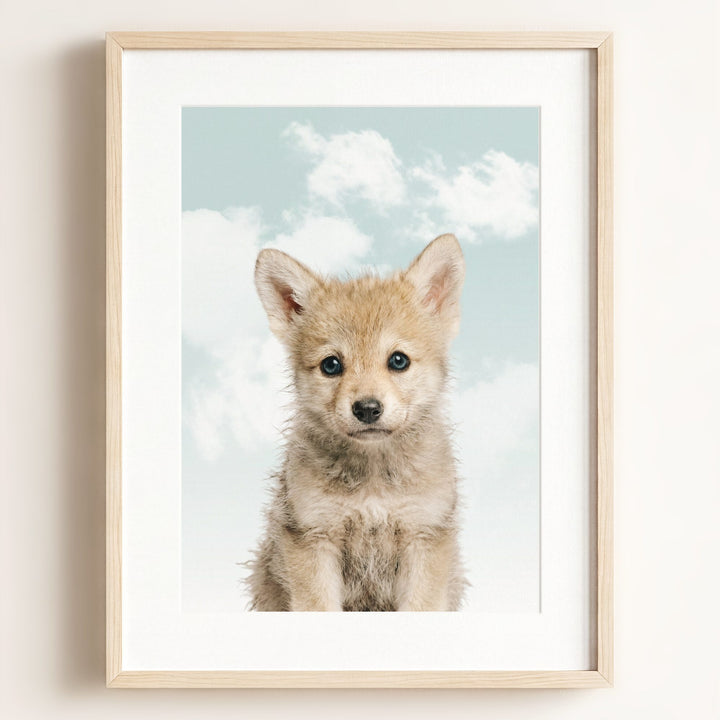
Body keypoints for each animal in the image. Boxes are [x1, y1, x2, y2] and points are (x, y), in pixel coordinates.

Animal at [246, 233, 466, 611]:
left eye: (398, 360)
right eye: (331, 365)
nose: (367, 409)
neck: (373, 482)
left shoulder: (424, 537)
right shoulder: (313, 538)